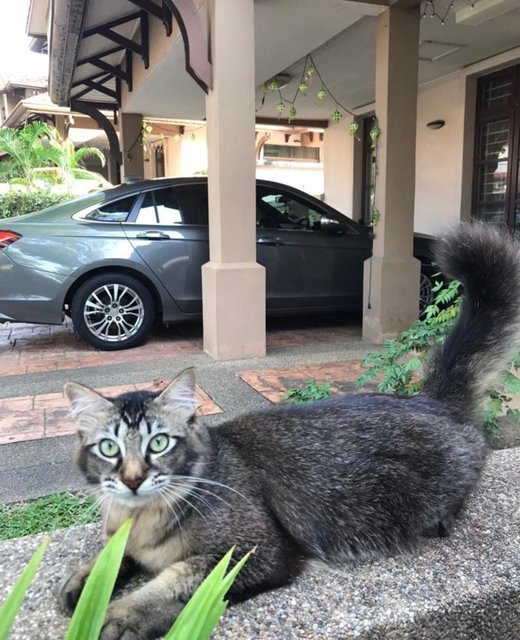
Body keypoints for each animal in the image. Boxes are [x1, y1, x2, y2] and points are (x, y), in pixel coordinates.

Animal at [62, 221, 520, 640]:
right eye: (109, 449)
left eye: (158, 443)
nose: (133, 479)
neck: (143, 519)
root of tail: (427, 399)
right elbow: (112, 556)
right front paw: (87, 578)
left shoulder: (253, 552)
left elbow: (174, 582)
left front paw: (121, 614)